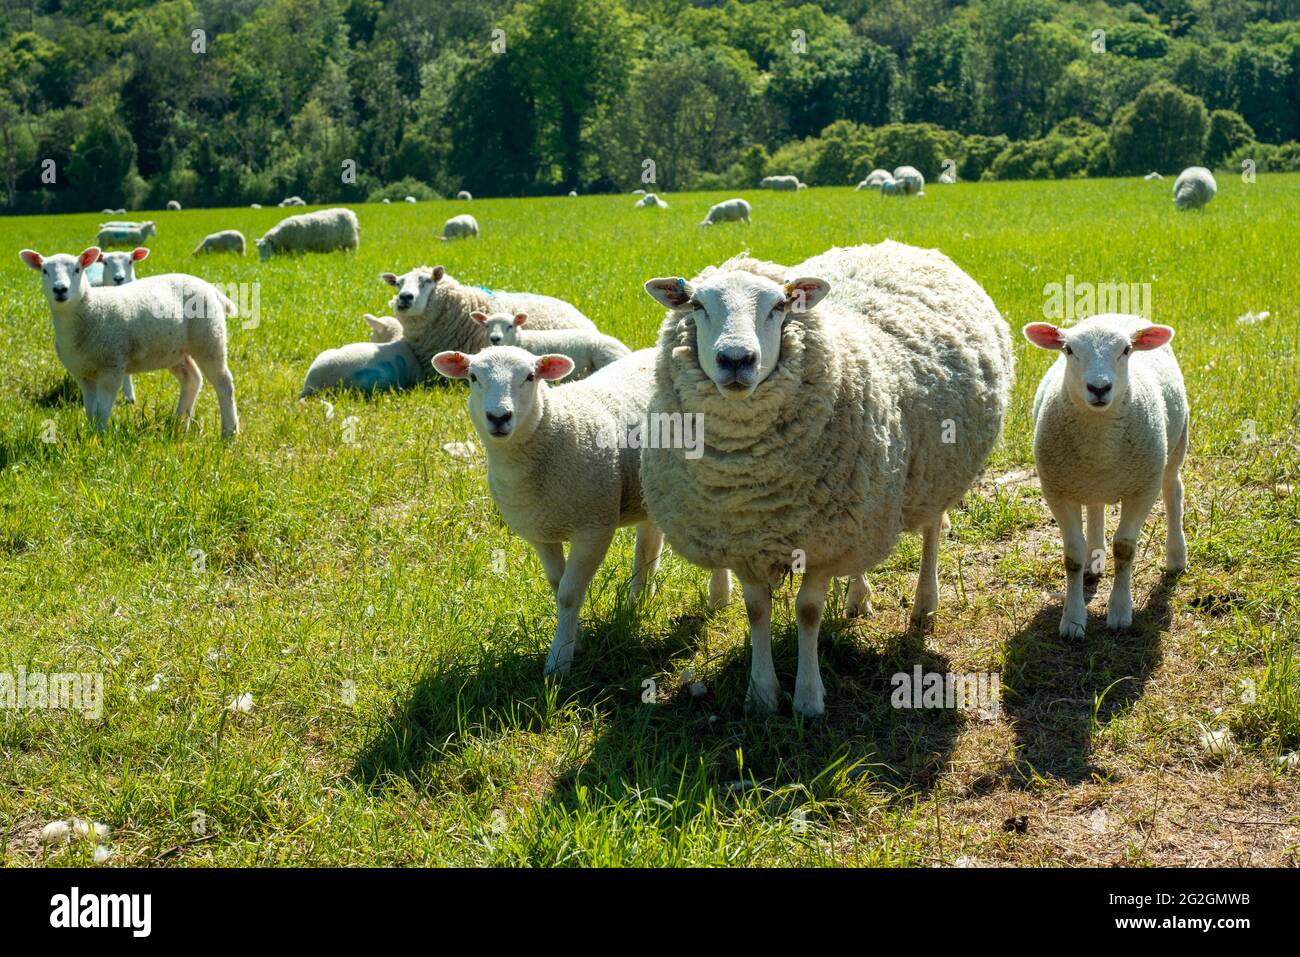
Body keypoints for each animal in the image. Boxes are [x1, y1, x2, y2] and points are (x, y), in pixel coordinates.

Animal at [19, 246, 240, 437]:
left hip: (209, 338)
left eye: (77, 269)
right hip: (174, 350)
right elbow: (90, 409)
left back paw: (229, 433)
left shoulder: (112, 366)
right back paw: (178, 424)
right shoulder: (83, 374)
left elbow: (102, 409)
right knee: (192, 378)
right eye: (44, 270)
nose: (60, 289)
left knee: (224, 384)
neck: (90, 311)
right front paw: (90, 435)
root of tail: (211, 288)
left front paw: (99, 439)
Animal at [432, 345, 730, 675]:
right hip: (650, 484)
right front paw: (577, 639)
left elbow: (568, 595)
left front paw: (559, 660)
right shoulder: (540, 533)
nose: (499, 417)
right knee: (649, 542)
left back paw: (719, 598)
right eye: (473, 377)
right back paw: (638, 601)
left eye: (530, 376)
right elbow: (557, 585)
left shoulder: (594, 528)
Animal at [640, 241, 1013, 716]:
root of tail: (896, 244)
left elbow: (808, 611)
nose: (736, 360)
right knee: (860, 559)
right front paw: (762, 693)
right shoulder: (744, 541)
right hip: (868, 500)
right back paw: (858, 598)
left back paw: (924, 606)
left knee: (931, 531)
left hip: (933, 471)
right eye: (698, 305)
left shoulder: (821, 543)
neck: (753, 486)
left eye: (779, 307)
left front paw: (807, 697)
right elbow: (756, 609)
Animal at [1023, 315, 1187, 637]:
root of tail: (1115, 313)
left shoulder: (1141, 490)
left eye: (1126, 350)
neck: (1100, 446)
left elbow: (1124, 550)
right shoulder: (1057, 490)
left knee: (1173, 492)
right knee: (1095, 506)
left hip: (1174, 448)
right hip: (1083, 481)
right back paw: (1093, 560)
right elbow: (1072, 556)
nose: (1099, 388)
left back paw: (1176, 556)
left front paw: (1120, 612)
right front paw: (1073, 620)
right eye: (1069, 350)